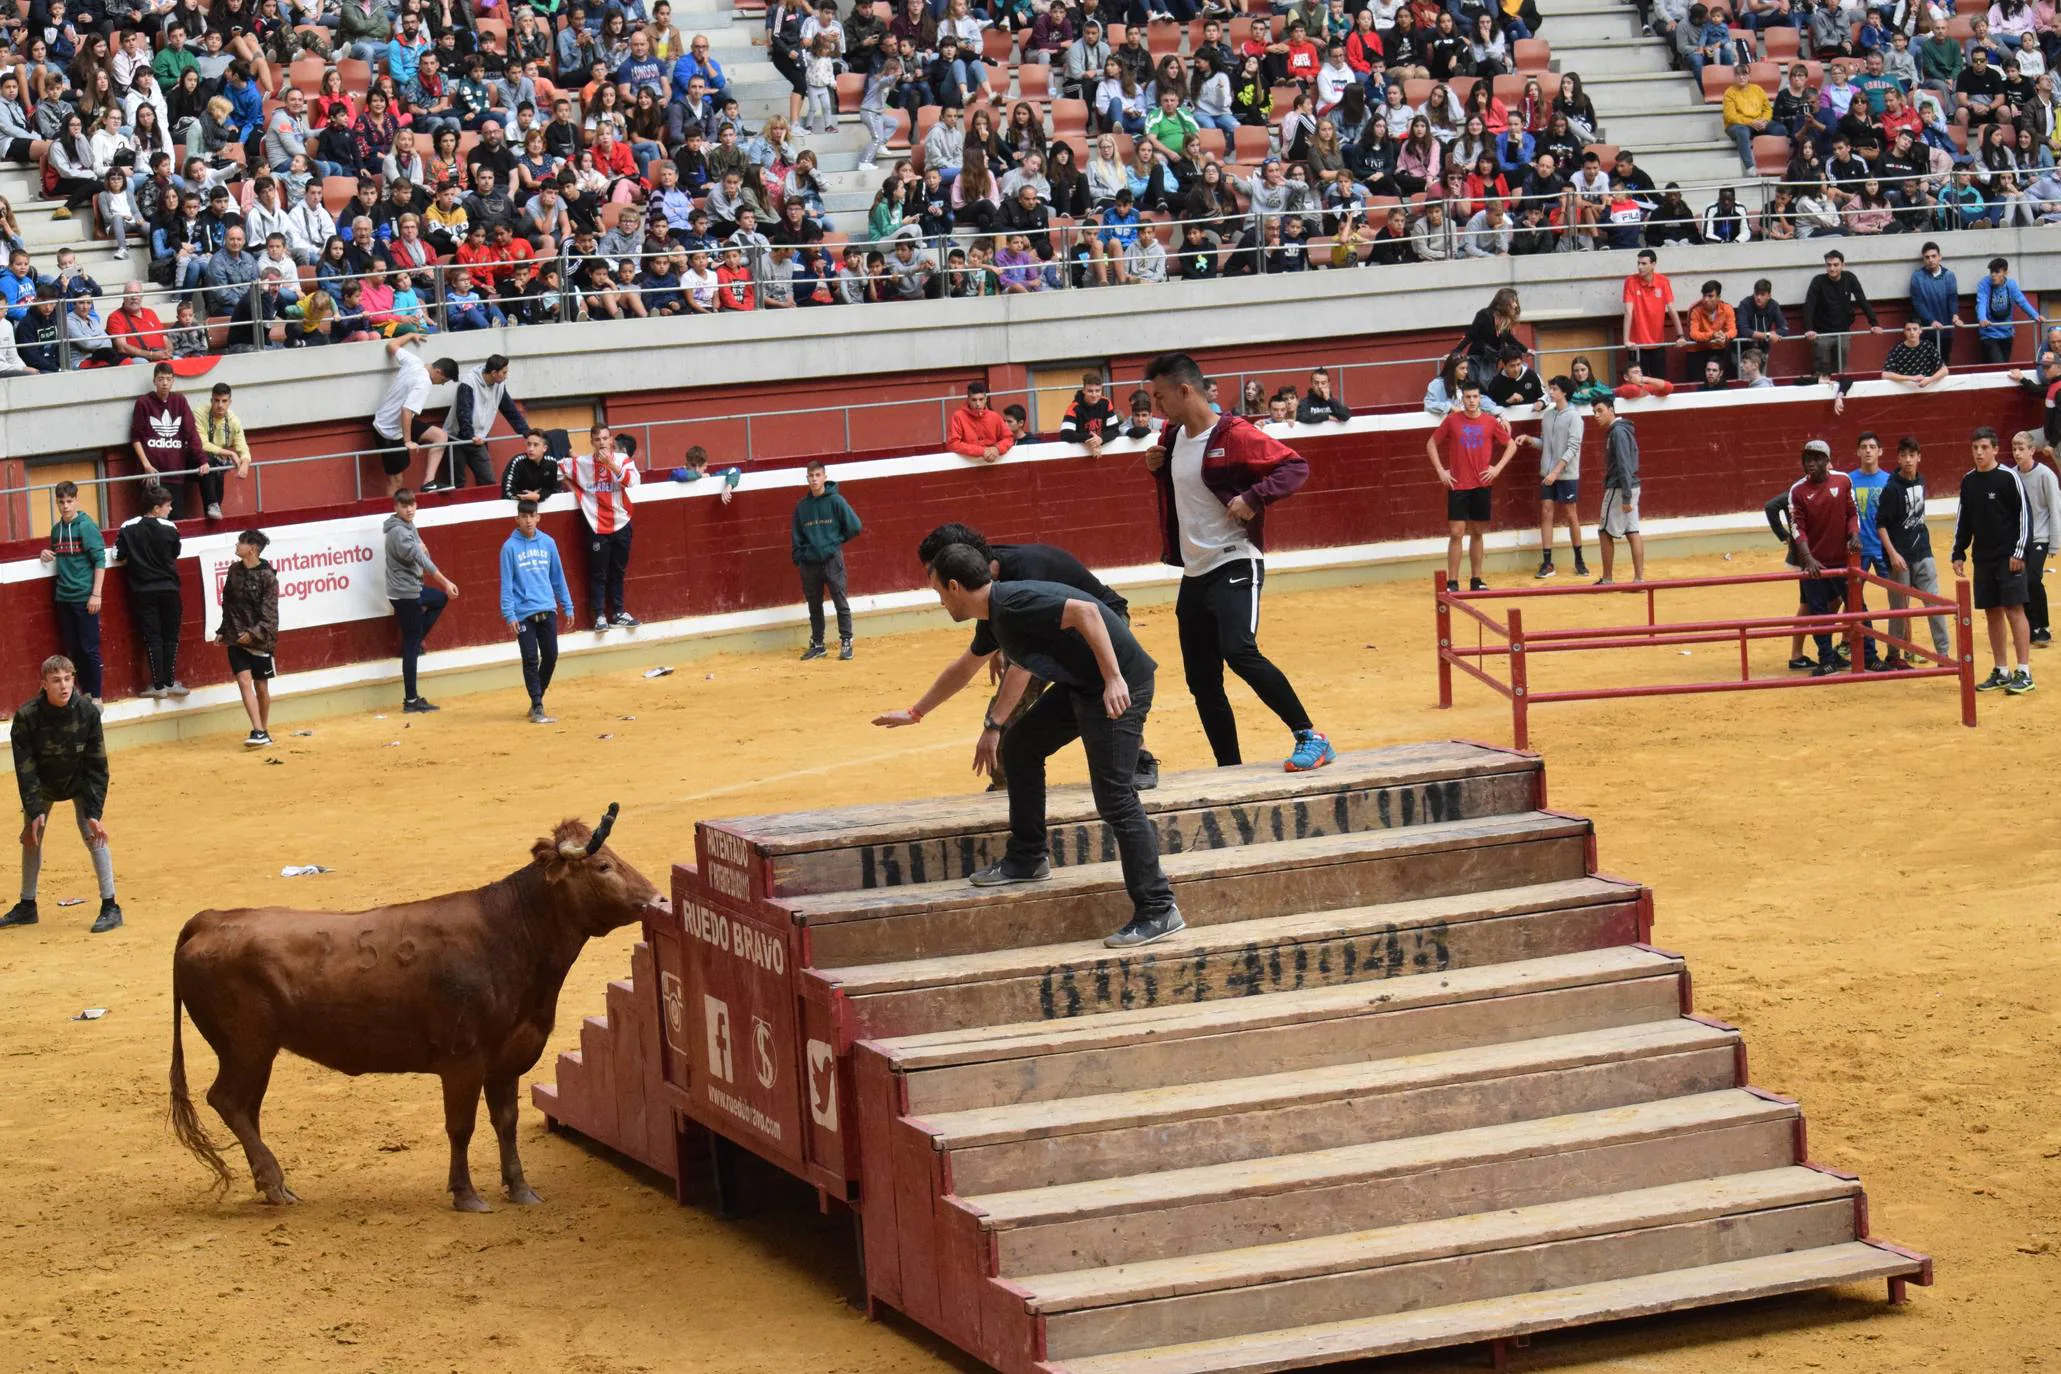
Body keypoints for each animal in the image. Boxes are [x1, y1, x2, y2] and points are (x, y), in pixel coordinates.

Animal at [169, 807, 655, 1211]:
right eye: (603, 866)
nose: (654, 897)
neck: (509, 932)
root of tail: (210, 919)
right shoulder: (463, 1061)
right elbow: (461, 1126)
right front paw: (466, 1195)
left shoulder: (506, 1061)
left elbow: (507, 1122)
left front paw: (520, 1189)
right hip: (247, 1048)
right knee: (228, 1101)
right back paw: (274, 1184)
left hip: (256, 1054)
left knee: (246, 1108)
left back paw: (272, 1185)